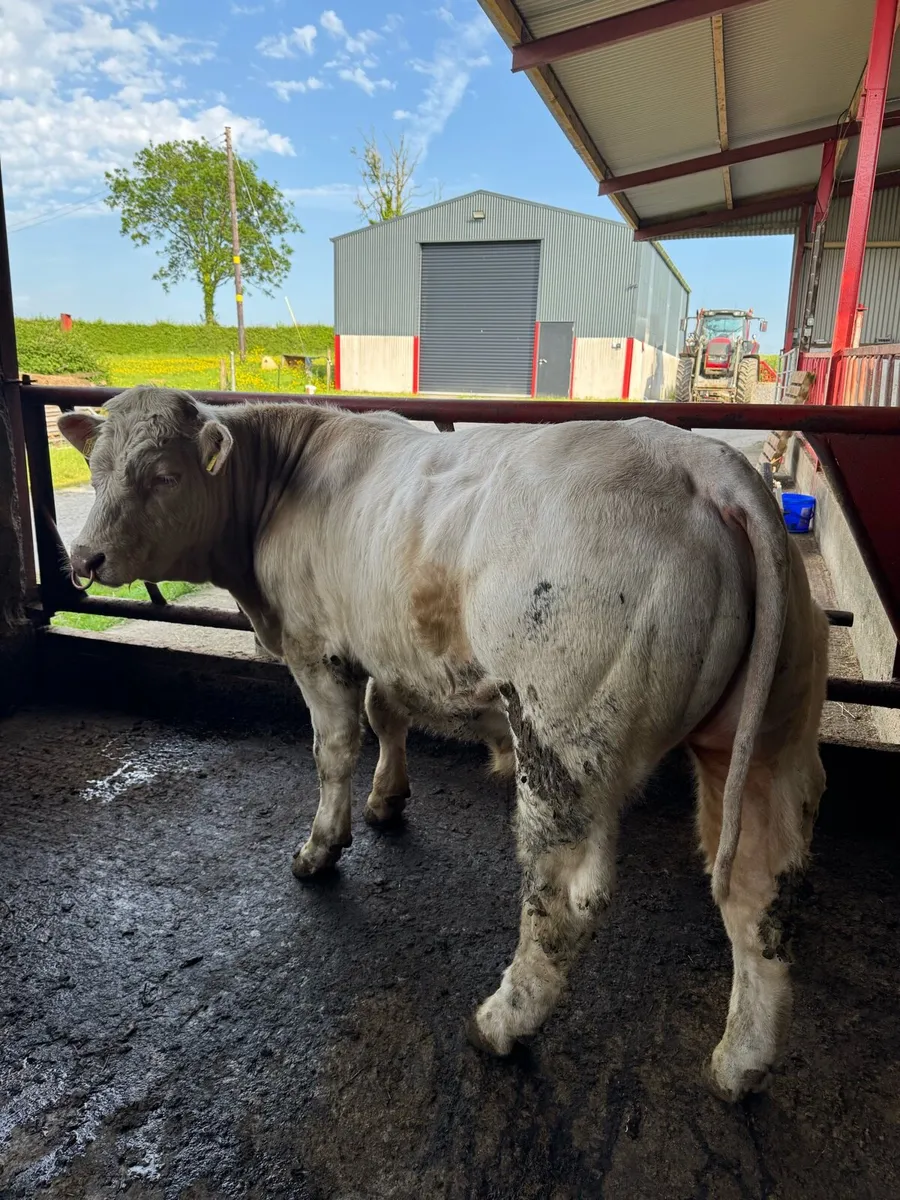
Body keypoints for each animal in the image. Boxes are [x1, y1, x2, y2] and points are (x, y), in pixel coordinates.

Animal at [59, 386, 828, 1102]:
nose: (84, 557)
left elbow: (335, 750)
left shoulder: (317, 648)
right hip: (771, 736)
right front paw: (387, 800)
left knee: (564, 895)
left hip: (564, 735)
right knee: (761, 888)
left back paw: (503, 1021)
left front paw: (321, 847)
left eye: (164, 474)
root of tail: (701, 462)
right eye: (95, 471)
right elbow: (387, 712)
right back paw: (740, 1062)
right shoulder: (383, 640)